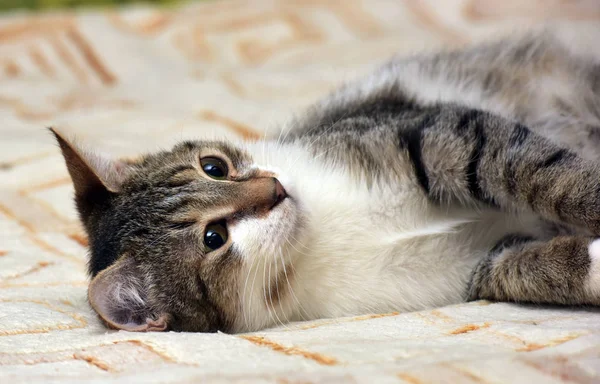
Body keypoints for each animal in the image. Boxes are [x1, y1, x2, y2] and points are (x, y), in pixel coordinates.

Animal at [52, 24, 600, 332]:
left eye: (215, 166)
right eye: (214, 238)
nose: (275, 190)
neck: (321, 234)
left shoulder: (436, 133)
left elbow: (543, 175)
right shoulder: (477, 266)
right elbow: (537, 268)